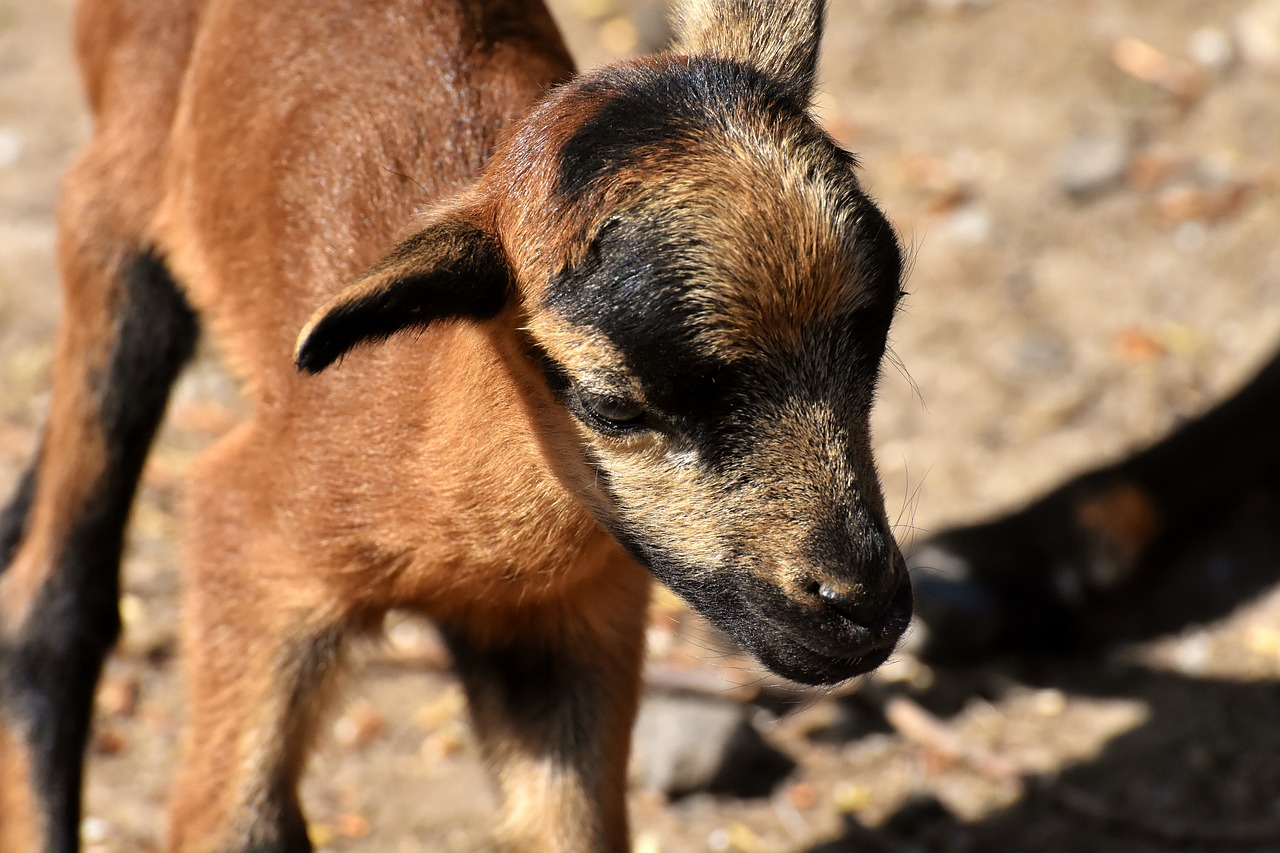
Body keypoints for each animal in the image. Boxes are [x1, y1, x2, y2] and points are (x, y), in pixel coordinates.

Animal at [2, 0, 911, 845]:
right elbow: (230, 818)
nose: (861, 605)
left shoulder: (572, 626)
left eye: (876, 334)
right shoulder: (253, 537)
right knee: (49, 605)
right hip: (115, 209)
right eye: (612, 403)